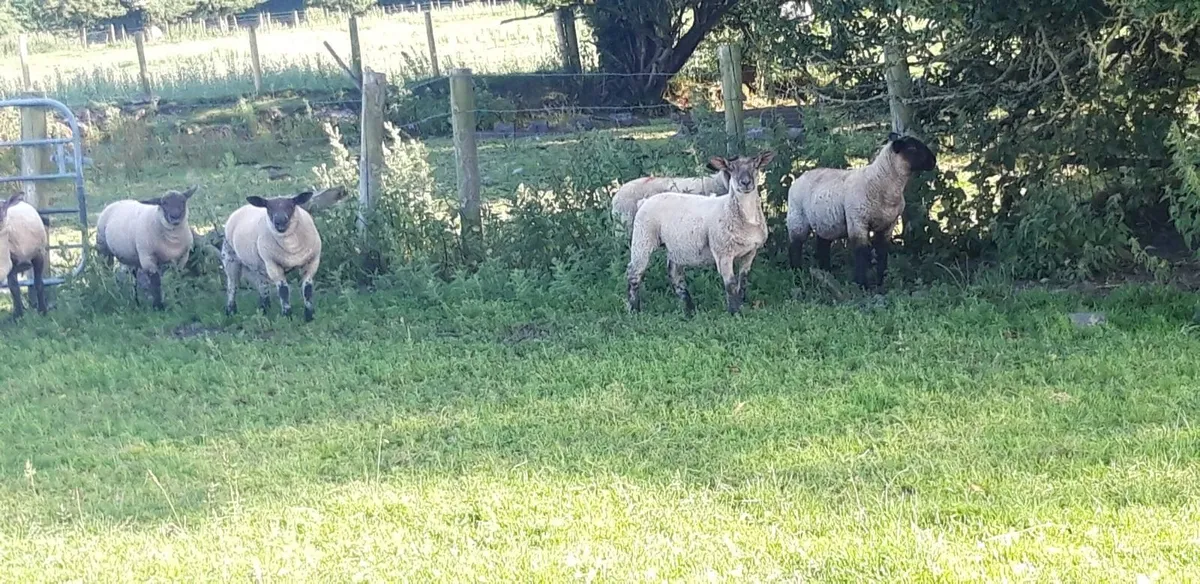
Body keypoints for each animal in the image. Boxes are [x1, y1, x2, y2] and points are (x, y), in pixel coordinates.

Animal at [221, 191, 321, 321]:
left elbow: (307, 289)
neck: (291, 247)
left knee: (262, 285)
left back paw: (264, 308)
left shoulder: (312, 261)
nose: (280, 221)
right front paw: (287, 316)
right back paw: (231, 311)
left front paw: (310, 315)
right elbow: (283, 290)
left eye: (291, 206)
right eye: (269, 208)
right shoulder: (273, 264)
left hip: (258, 265)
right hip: (230, 259)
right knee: (232, 286)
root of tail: (241, 208)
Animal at [626, 151, 776, 316]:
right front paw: (734, 312)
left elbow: (743, 280)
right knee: (634, 272)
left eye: (756, 166)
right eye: (731, 168)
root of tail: (644, 201)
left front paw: (742, 304)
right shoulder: (723, 253)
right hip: (643, 237)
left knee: (675, 275)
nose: (745, 183)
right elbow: (730, 284)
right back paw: (634, 308)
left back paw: (689, 309)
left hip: (675, 246)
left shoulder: (750, 252)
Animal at [786, 132, 936, 290]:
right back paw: (797, 274)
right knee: (795, 246)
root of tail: (798, 179)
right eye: (912, 148)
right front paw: (861, 285)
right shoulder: (858, 222)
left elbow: (882, 253)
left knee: (822, 246)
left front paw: (880, 283)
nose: (933, 161)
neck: (881, 181)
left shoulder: (888, 225)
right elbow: (861, 253)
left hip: (825, 222)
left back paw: (826, 273)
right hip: (797, 218)